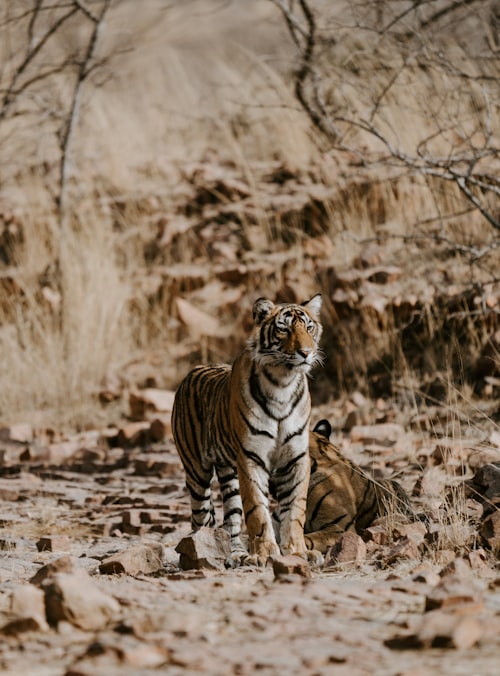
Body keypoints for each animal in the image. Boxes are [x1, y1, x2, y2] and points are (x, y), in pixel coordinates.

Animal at [172, 294, 323, 566]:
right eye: (284, 329)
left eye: (309, 327)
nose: (306, 353)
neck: (284, 383)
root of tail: (192, 371)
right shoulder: (251, 458)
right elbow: (257, 511)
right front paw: (265, 554)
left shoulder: (296, 458)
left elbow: (295, 509)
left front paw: (298, 552)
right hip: (197, 472)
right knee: (200, 519)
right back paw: (199, 557)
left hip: (229, 474)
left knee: (231, 520)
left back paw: (237, 555)